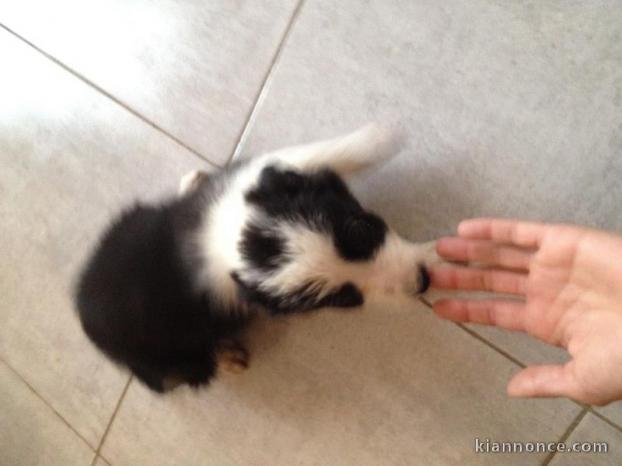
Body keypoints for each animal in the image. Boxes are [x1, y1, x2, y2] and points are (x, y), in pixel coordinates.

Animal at [75, 124, 438, 394]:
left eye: (360, 229)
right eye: (343, 300)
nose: (421, 282)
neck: (220, 239)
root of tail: (81, 310)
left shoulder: (249, 186)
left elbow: (301, 156)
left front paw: (380, 135)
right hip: (164, 356)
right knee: (182, 373)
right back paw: (226, 358)